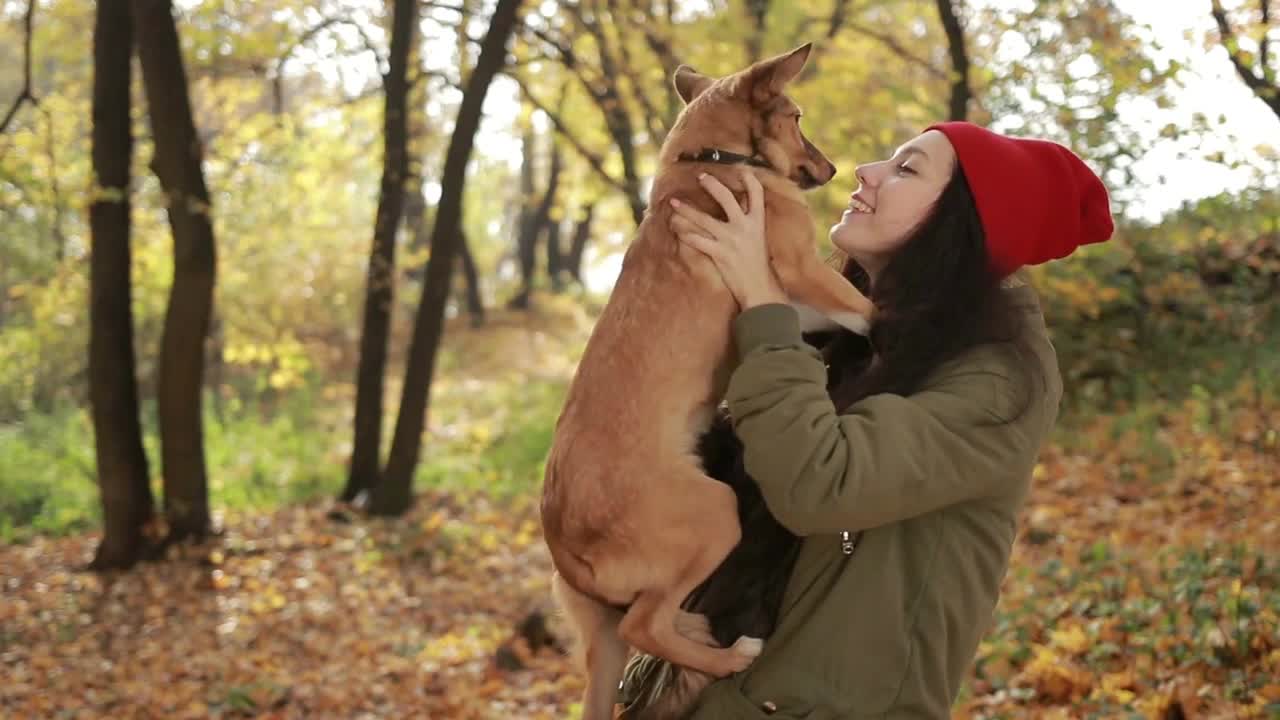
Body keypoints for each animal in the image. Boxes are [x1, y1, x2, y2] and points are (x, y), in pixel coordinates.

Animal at [535, 41, 875, 712]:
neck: (710, 158)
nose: (830, 171)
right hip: (716, 513)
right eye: (795, 116)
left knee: (642, 630)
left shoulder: (793, 299)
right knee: (647, 625)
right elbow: (867, 308)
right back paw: (729, 656)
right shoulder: (801, 269)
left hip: (605, 634)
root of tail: (566, 547)